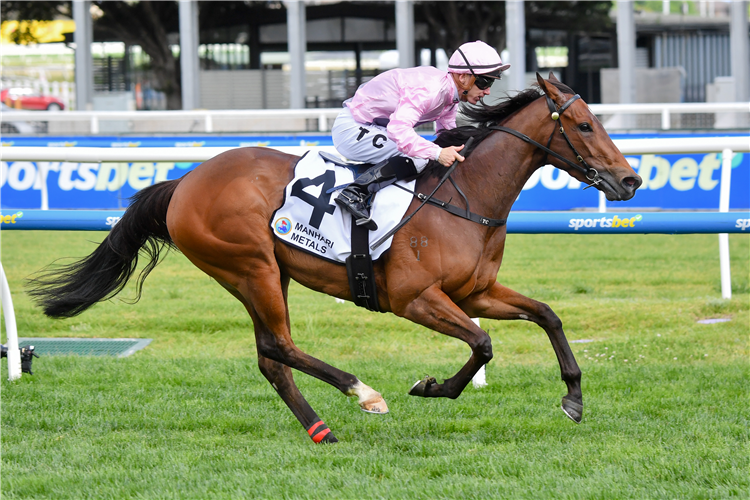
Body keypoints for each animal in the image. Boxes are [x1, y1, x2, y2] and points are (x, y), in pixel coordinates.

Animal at [27, 73, 640, 442]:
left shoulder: (475, 293)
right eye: (584, 125)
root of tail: (184, 182)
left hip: (265, 274)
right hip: (250, 266)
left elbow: (547, 315)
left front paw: (574, 399)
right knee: (279, 346)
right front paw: (430, 387)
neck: (466, 198)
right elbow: (483, 344)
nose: (630, 180)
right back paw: (363, 393)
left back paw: (320, 428)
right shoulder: (416, 299)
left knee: (270, 356)